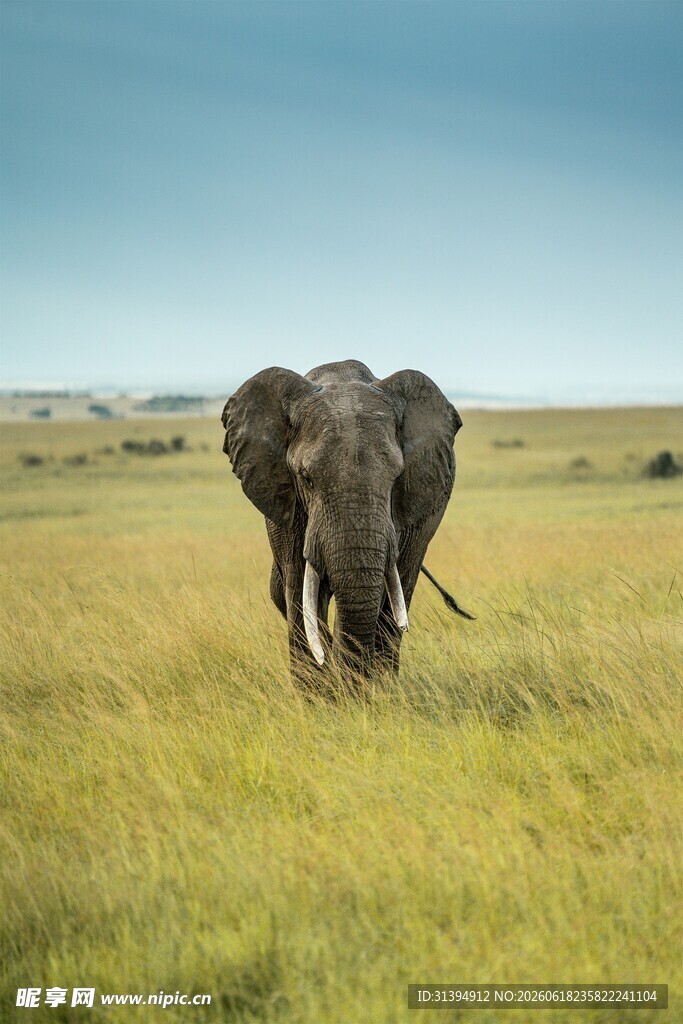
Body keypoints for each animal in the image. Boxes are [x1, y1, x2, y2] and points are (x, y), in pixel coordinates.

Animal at [222, 359, 469, 679]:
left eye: (396, 479)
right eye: (306, 479)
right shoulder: (287, 508)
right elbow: (299, 593)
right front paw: (321, 684)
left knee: (399, 591)